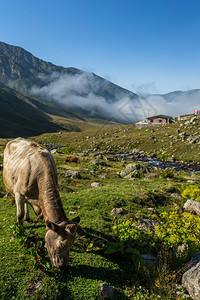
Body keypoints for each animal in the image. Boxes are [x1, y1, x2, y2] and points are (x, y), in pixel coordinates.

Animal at [2, 138, 79, 270]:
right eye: (62, 245)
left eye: (72, 244)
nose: (63, 266)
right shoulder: (18, 194)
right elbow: (19, 215)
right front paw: (18, 231)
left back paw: (28, 218)